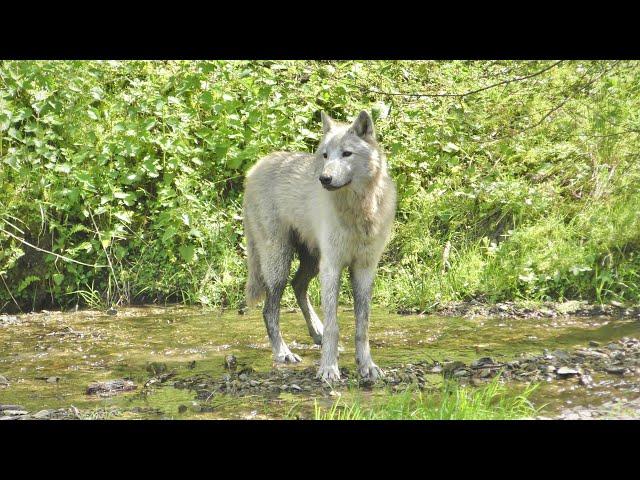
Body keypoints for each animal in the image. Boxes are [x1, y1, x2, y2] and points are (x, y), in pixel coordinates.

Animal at [242, 110, 396, 380]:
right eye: (325, 155)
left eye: (346, 153)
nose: (324, 178)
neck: (357, 212)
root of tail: (255, 168)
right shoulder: (332, 267)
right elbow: (334, 324)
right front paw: (328, 368)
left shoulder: (364, 269)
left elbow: (362, 325)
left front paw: (367, 366)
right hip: (280, 263)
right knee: (269, 310)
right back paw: (283, 353)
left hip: (311, 263)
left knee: (298, 286)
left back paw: (316, 332)